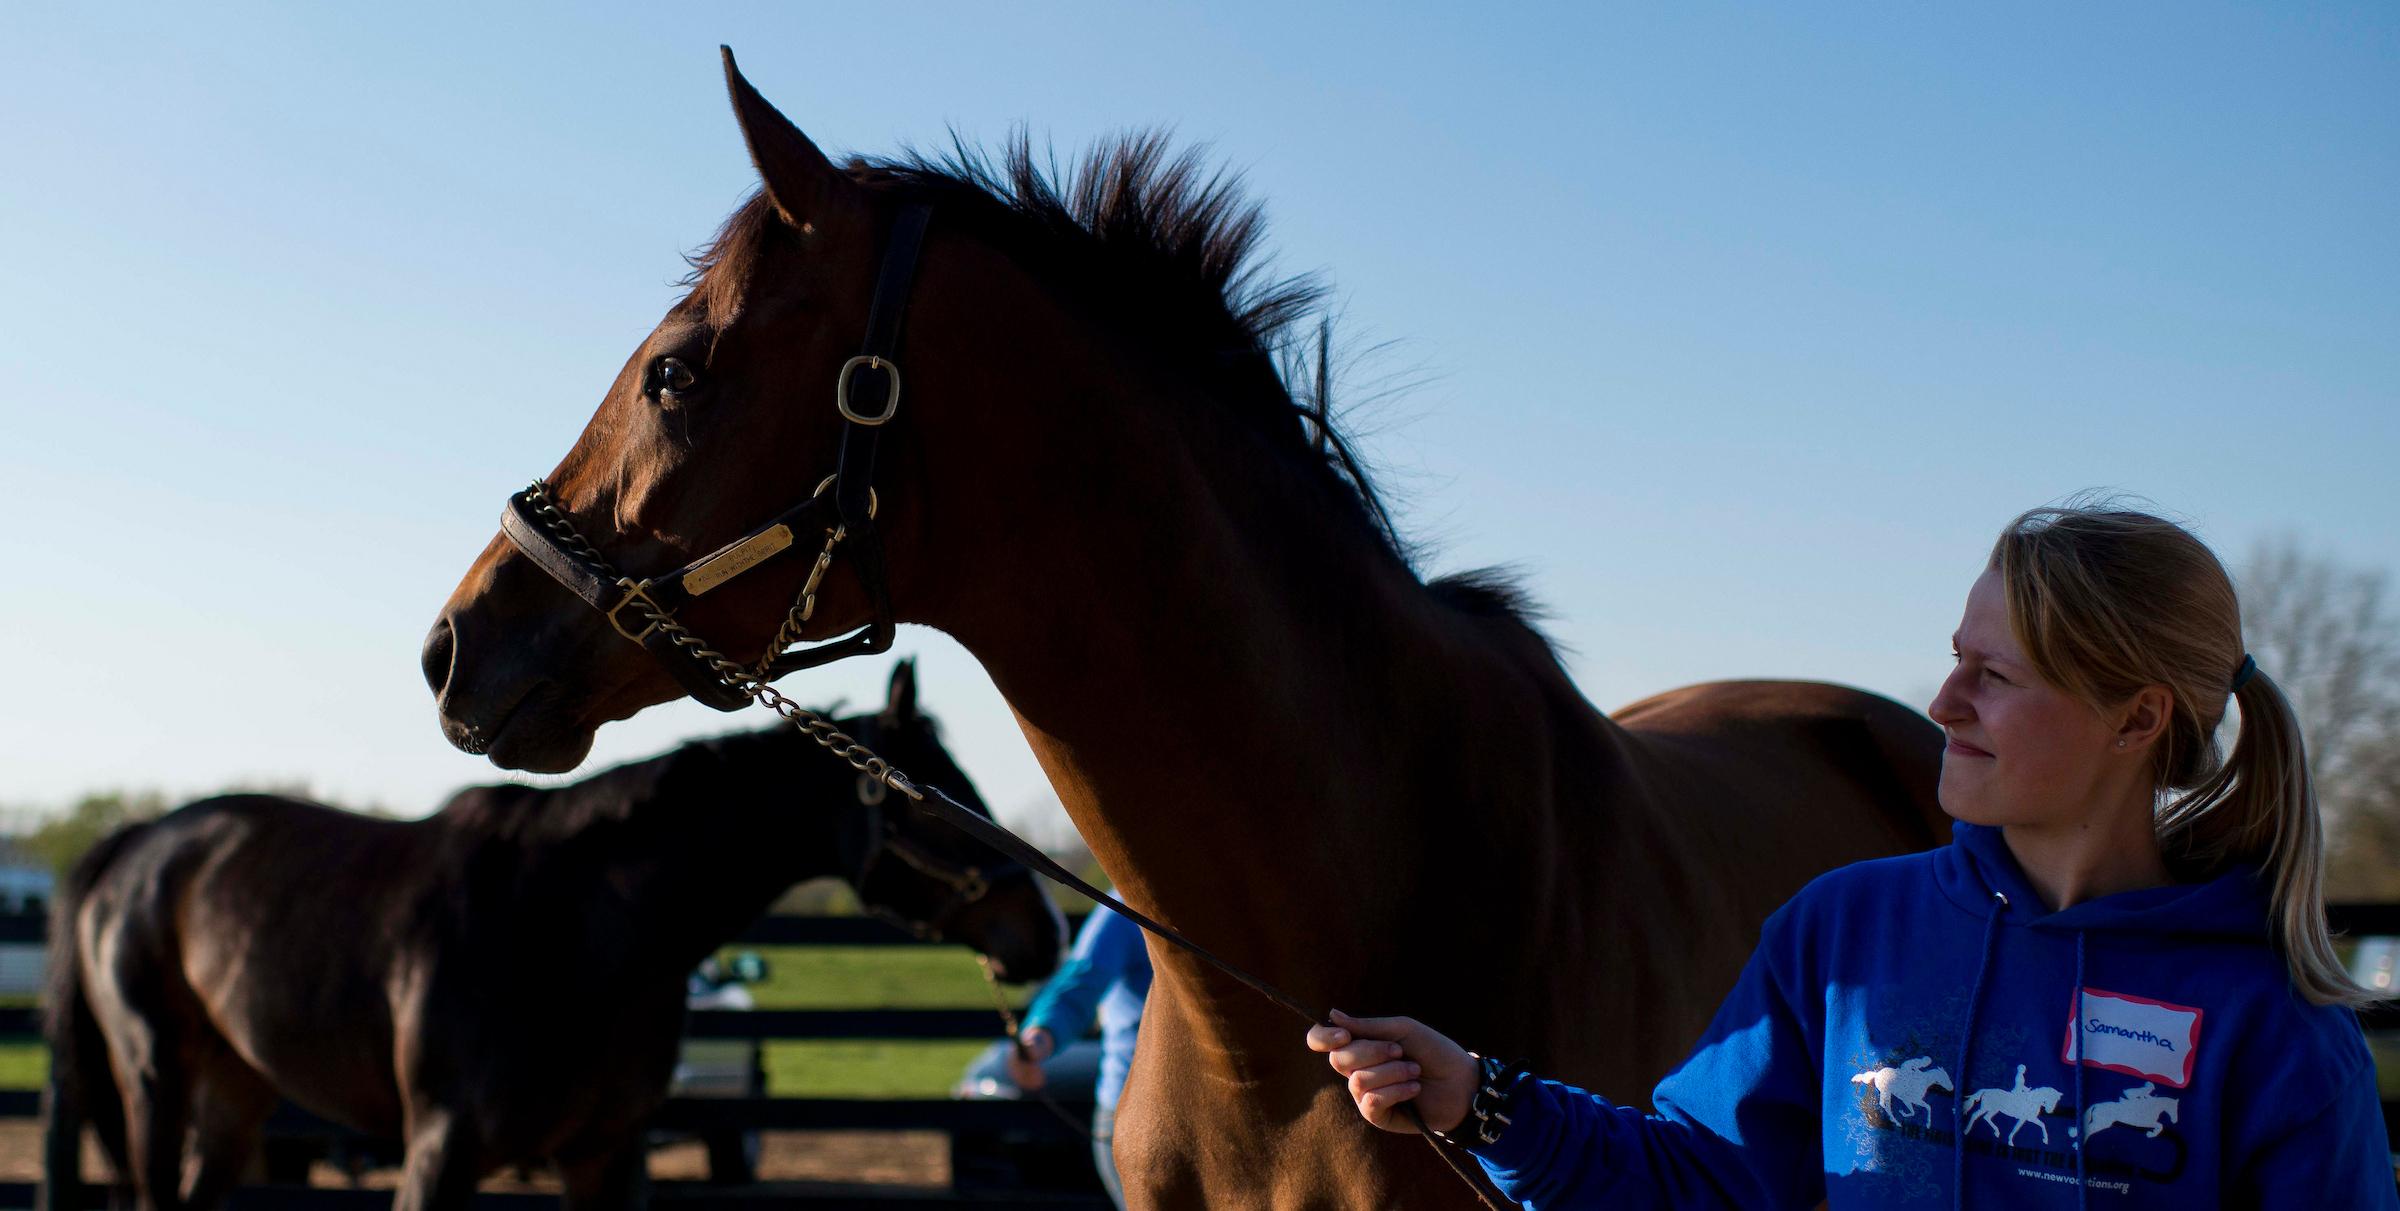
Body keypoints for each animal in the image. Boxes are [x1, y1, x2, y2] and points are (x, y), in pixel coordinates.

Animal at [44, 660, 1060, 1211]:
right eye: (934, 799)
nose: (1043, 933)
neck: (577, 929)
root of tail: (142, 842)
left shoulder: (606, 1158)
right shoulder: (440, 1152)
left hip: (236, 1092)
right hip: (153, 1080)